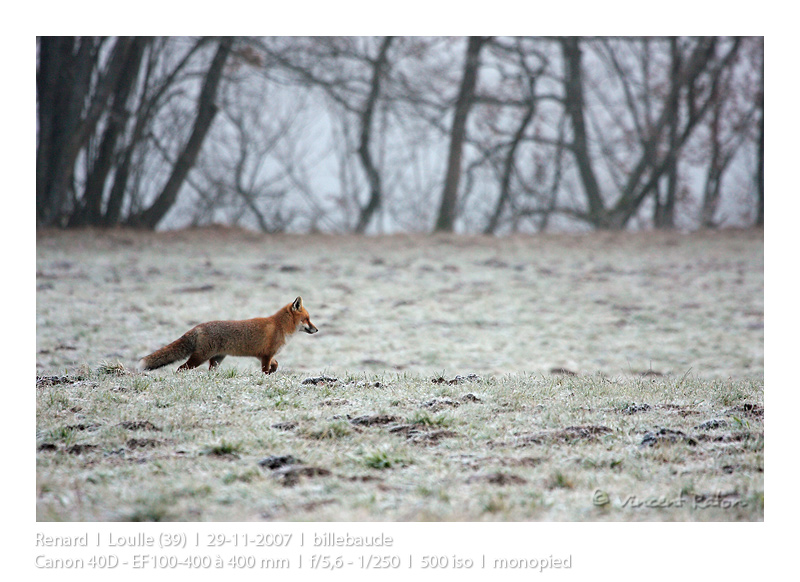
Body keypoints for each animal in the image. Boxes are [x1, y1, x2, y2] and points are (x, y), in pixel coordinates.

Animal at [138, 296, 318, 374]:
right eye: (307, 319)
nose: (316, 330)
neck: (280, 327)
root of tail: (197, 327)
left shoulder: (265, 355)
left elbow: (276, 364)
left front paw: (273, 371)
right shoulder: (266, 355)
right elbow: (266, 370)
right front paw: (267, 377)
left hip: (217, 359)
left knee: (209, 370)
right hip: (199, 358)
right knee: (180, 368)